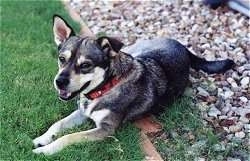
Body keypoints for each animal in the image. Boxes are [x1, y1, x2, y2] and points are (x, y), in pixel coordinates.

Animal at [32, 15, 235, 155]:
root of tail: (183, 47)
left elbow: (70, 136)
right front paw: (42, 139)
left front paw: (45, 150)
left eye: (85, 65)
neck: (107, 86)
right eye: (62, 59)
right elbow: (58, 124)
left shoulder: (106, 129)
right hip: (133, 50)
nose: (59, 81)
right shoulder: (82, 112)